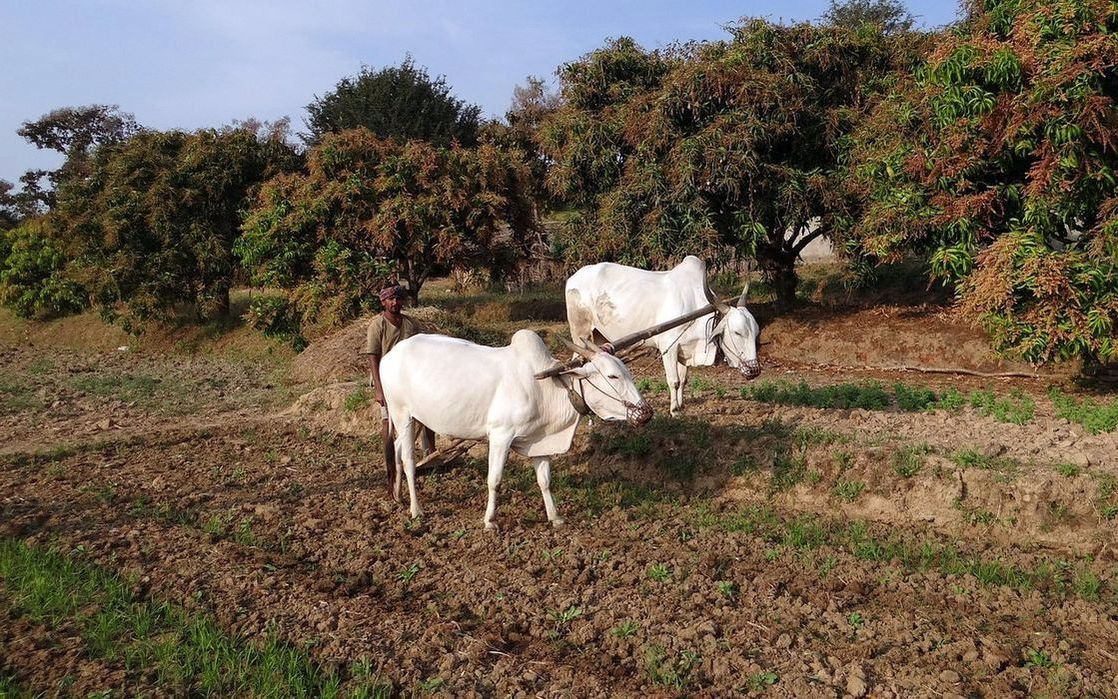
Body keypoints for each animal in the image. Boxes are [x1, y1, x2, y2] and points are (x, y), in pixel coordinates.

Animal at [379, 330, 653, 530]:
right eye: (613, 376)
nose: (646, 413)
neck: (547, 388)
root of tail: (390, 355)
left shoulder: (540, 441)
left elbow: (545, 481)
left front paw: (555, 517)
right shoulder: (501, 435)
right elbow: (495, 480)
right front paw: (490, 521)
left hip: (409, 418)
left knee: (397, 450)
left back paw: (398, 494)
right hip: (403, 414)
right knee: (409, 460)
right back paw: (416, 509)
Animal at [565, 255, 761, 415]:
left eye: (756, 333)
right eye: (737, 332)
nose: (755, 370)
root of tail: (573, 277)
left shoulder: (684, 351)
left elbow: (683, 380)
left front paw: (681, 406)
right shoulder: (669, 348)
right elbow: (674, 381)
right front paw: (674, 411)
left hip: (598, 337)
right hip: (580, 334)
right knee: (577, 363)